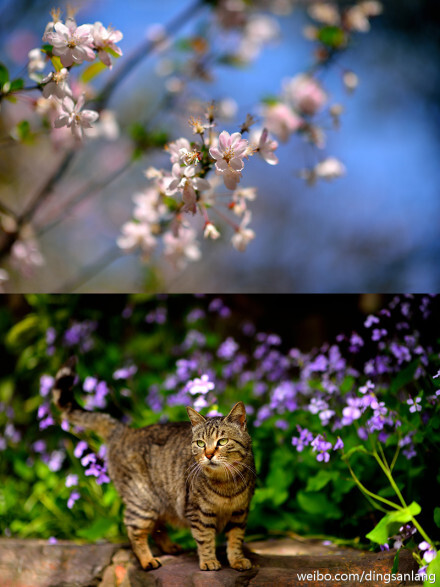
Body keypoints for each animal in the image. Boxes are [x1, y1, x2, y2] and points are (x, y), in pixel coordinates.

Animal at [52, 360, 256, 572]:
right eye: (200, 443)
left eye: (222, 441)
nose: (208, 454)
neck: (227, 483)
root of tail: (124, 430)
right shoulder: (198, 513)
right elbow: (205, 539)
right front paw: (208, 561)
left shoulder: (240, 513)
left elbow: (235, 540)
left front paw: (237, 559)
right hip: (142, 501)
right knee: (134, 530)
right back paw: (147, 560)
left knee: (157, 527)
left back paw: (170, 547)